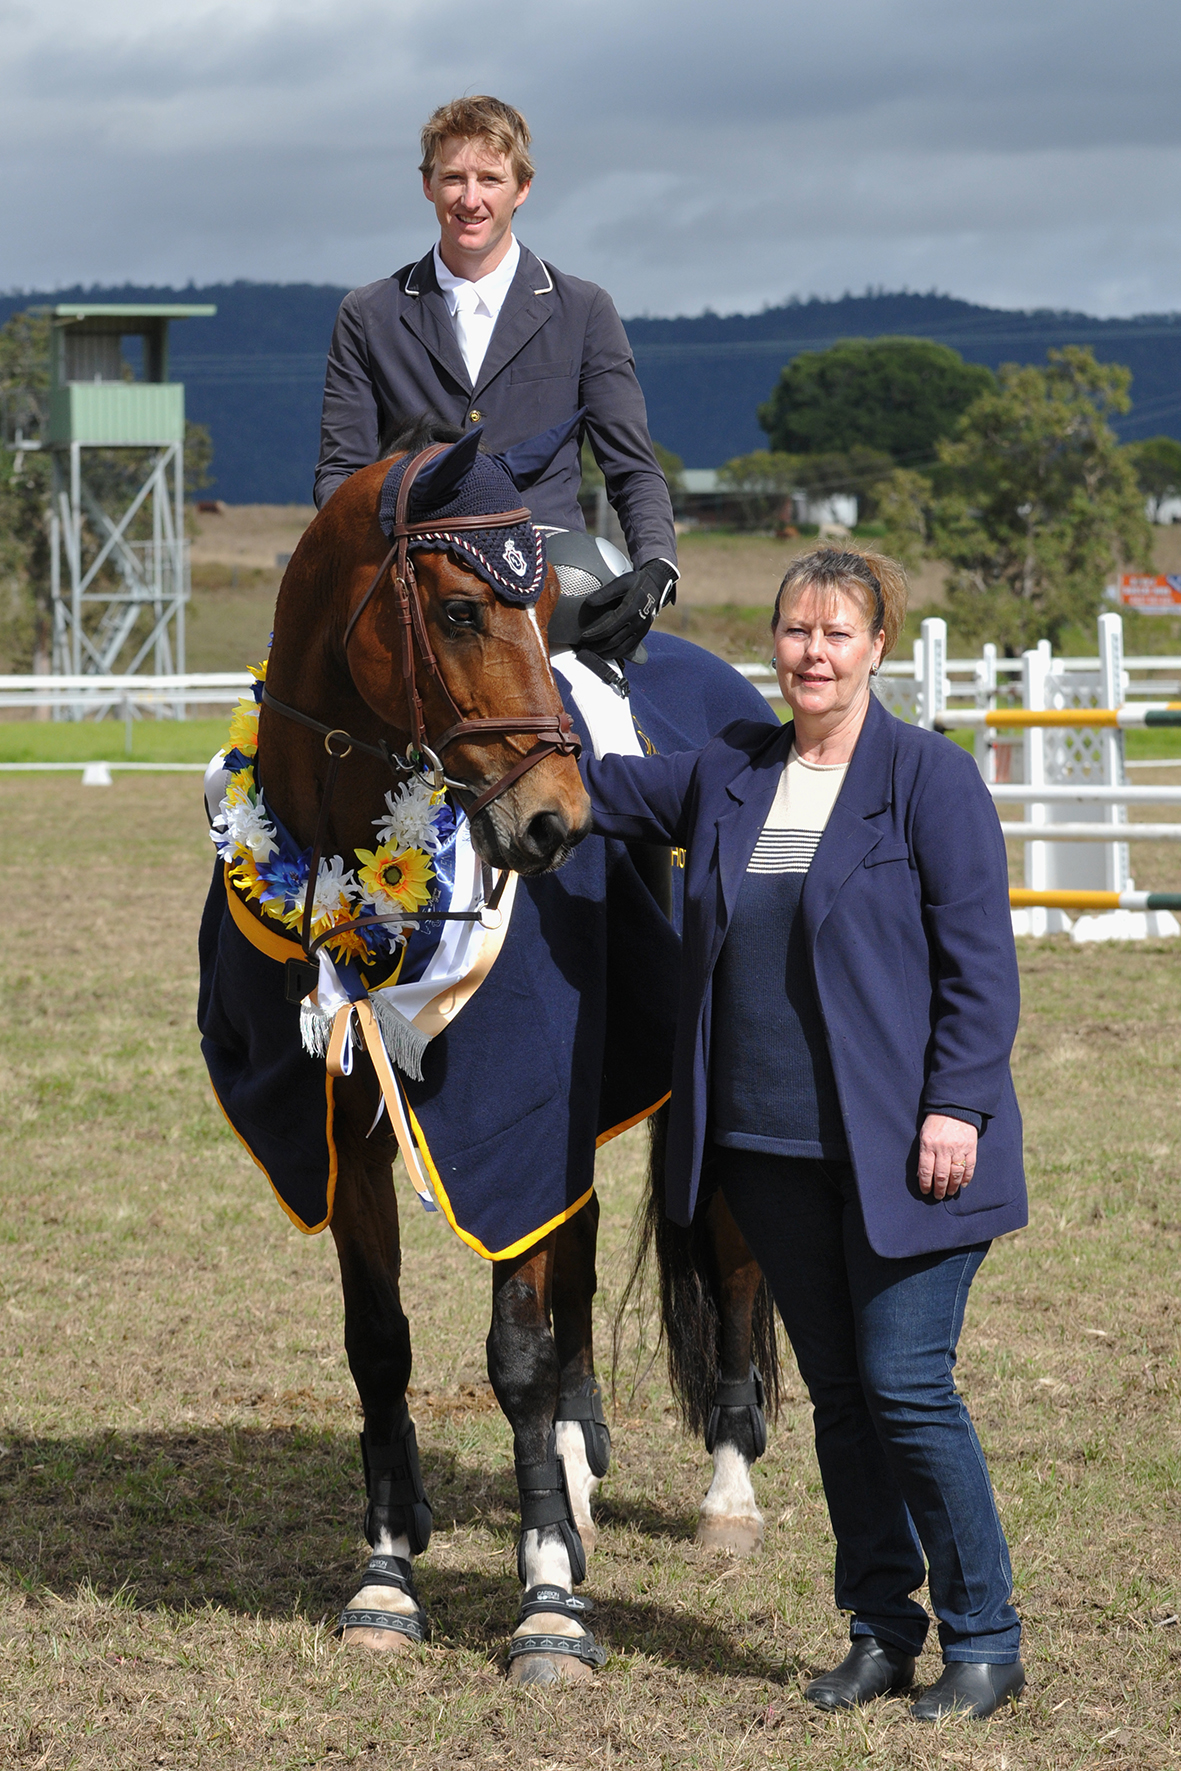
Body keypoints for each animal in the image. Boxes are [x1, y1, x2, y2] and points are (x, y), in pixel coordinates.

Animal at [198, 421, 779, 1678]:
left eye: (545, 607)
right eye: (462, 612)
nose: (556, 823)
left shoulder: (517, 1119)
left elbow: (514, 1350)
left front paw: (548, 1599)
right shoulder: (344, 1135)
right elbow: (379, 1344)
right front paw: (385, 1579)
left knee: (724, 1247)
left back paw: (724, 1495)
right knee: (583, 1258)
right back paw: (574, 1465)